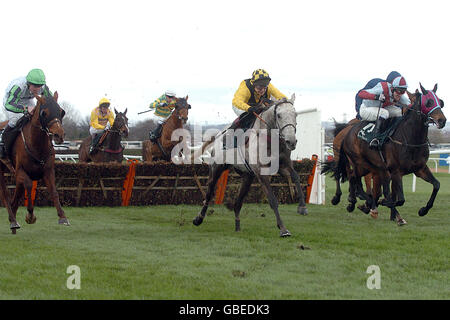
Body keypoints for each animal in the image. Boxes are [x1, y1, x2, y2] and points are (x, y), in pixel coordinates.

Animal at [0, 91, 68, 234]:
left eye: (61, 111)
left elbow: (54, 191)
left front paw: (63, 217)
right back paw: (13, 221)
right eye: (44, 113)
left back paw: (13, 224)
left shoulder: (48, 171)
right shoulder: (20, 171)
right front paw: (30, 216)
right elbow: (29, 185)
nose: (59, 135)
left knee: (15, 198)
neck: (36, 145)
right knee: (5, 195)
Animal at [192, 94, 308, 236]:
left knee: (237, 203)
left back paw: (237, 226)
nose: (291, 141)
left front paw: (302, 207)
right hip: (216, 168)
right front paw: (283, 229)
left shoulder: (283, 165)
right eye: (279, 115)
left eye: (295, 114)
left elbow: (296, 176)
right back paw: (198, 218)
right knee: (209, 194)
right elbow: (273, 200)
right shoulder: (261, 172)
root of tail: (219, 135)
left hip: (247, 176)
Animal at [322, 84, 444, 225]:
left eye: (441, 102)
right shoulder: (395, 171)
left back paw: (355, 203)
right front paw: (382, 206)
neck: (410, 139)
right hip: (357, 162)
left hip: (366, 167)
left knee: (352, 177)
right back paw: (354, 200)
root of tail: (348, 131)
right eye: (428, 102)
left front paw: (422, 210)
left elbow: (436, 185)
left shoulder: (419, 169)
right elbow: (398, 198)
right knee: (348, 177)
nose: (442, 120)